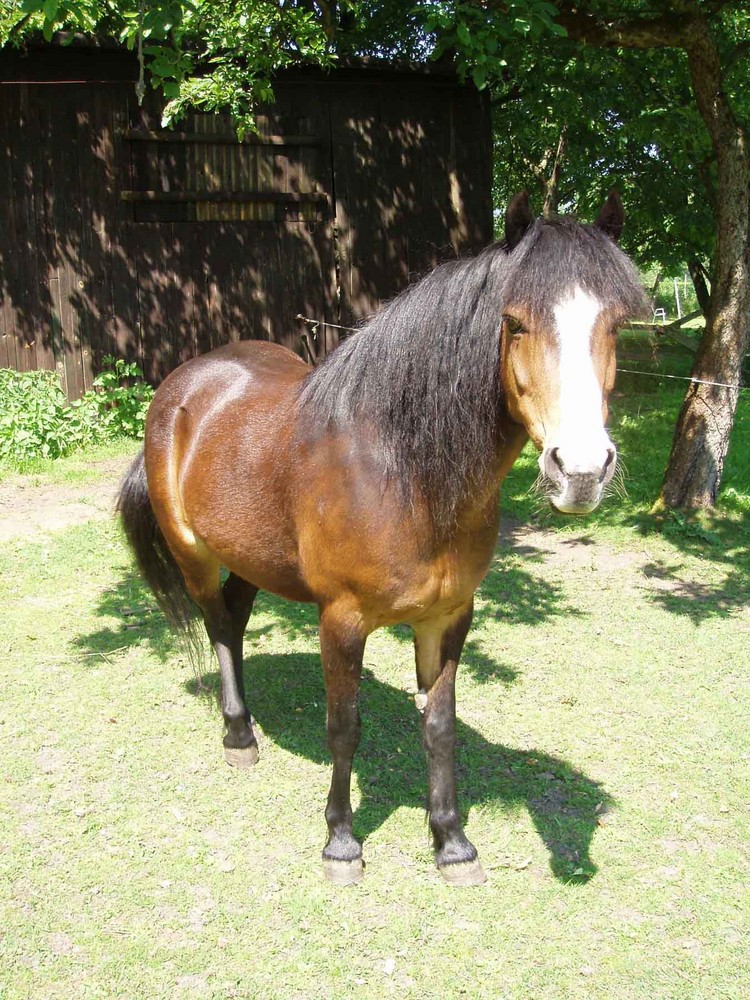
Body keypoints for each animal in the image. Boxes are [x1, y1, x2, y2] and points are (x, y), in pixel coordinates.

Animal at [116, 191, 648, 888]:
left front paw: (452, 844)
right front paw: (341, 843)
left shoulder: (448, 618)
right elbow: (344, 727)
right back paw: (237, 736)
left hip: (251, 560)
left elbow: (440, 727)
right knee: (217, 625)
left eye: (615, 326)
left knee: (232, 620)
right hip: (193, 555)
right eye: (515, 323)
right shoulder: (341, 619)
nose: (581, 471)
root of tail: (185, 384)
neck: (403, 473)